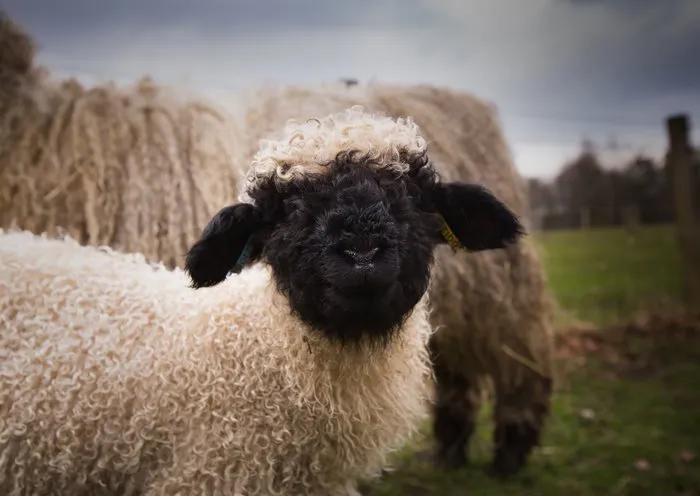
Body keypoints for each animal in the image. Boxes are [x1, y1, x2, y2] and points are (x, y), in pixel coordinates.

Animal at [240, 82, 556, 477]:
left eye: (411, 199)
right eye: (290, 210)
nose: (362, 254)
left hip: (500, 294)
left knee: (522, 359)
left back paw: (509, 452)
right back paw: (451, 450)